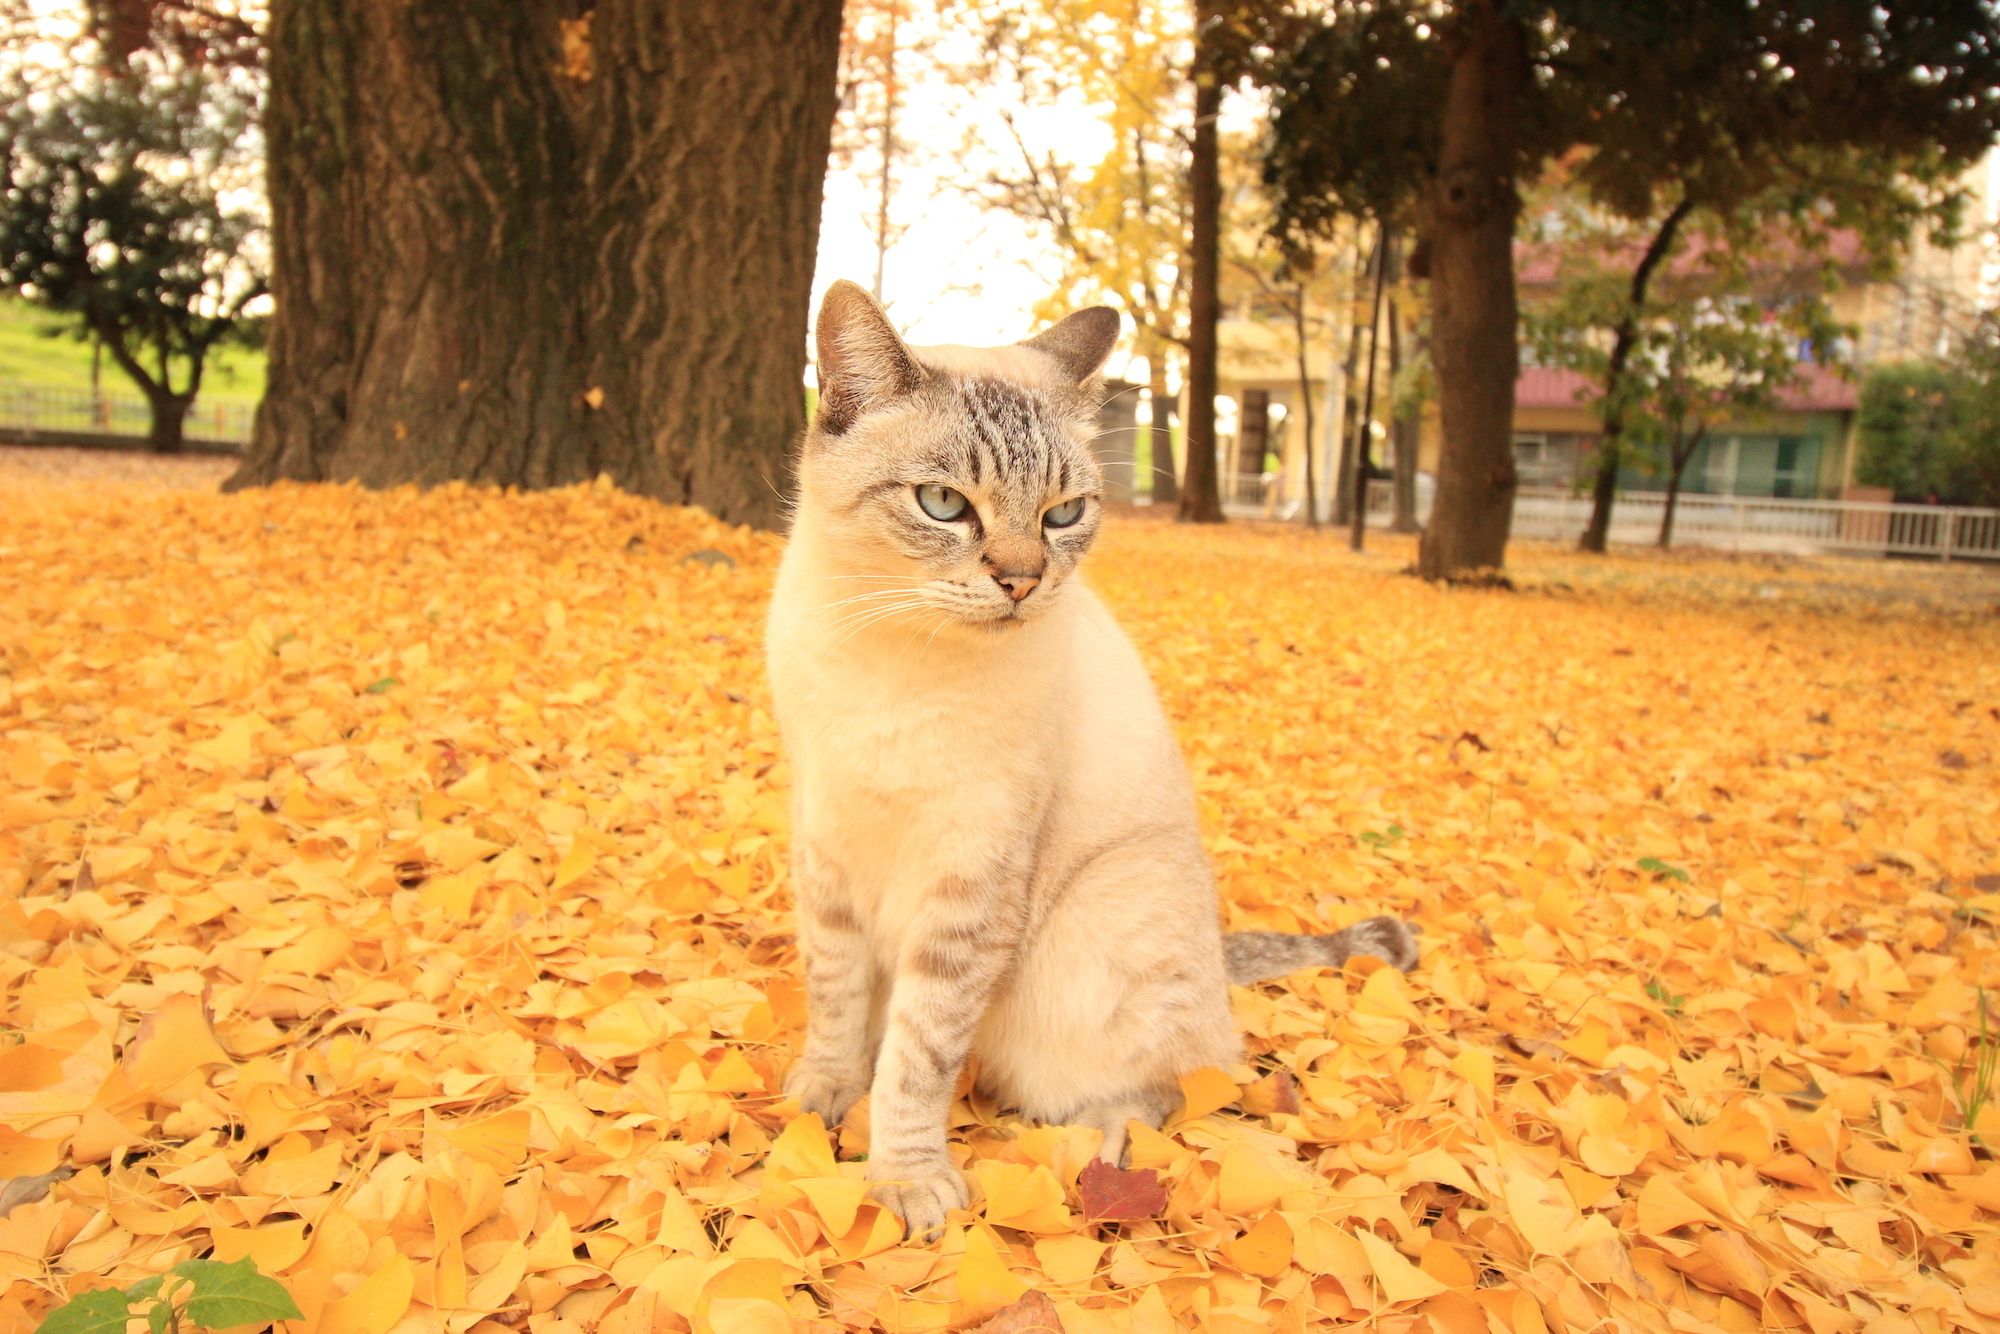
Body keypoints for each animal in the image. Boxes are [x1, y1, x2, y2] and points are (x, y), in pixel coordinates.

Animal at [764, 280, 1424, 1240]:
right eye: (943, 503)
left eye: (1063, 515)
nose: (1022, 580)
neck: (894, 658)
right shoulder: (828, 850)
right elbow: (838, 1004)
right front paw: (822, 1096)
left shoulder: (969, 886)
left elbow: (917, 1062)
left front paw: (906, 1180)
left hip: (1096, 945)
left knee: (1175, 1089)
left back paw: (1086, 1152)